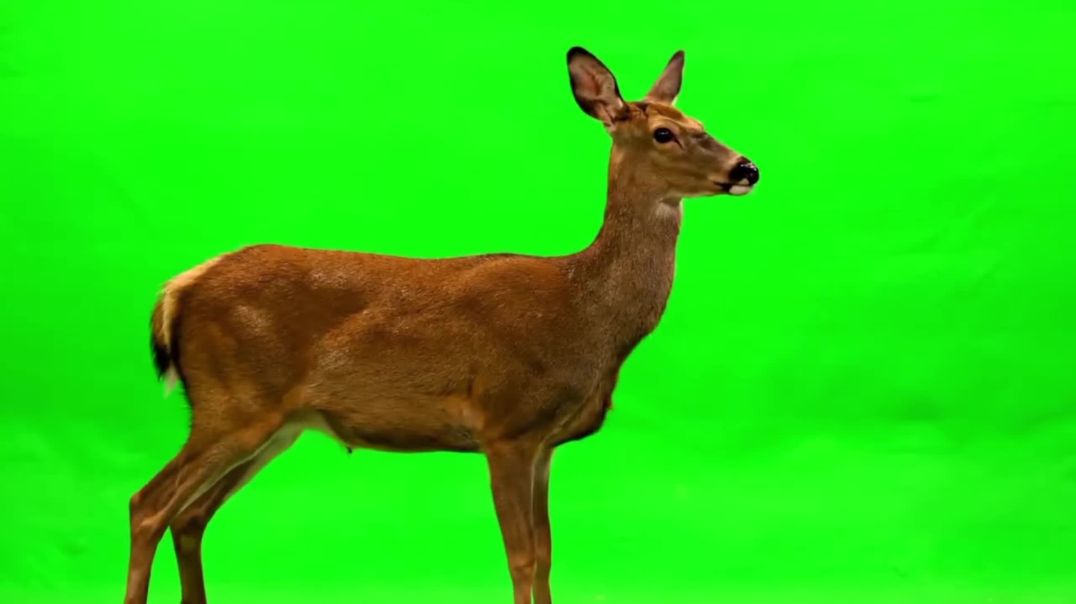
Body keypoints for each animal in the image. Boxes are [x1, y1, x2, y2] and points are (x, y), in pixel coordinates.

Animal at [126, 46, 759, 604]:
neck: (589, 315)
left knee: (190, 516)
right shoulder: (505, 424)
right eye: (664, 133)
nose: (747, 168)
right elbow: (522, 556)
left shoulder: (545, 443)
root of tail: (178, 289)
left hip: (277, 424)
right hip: (233, 402)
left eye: (702, 122)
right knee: (149, 506)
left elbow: (549, 554)